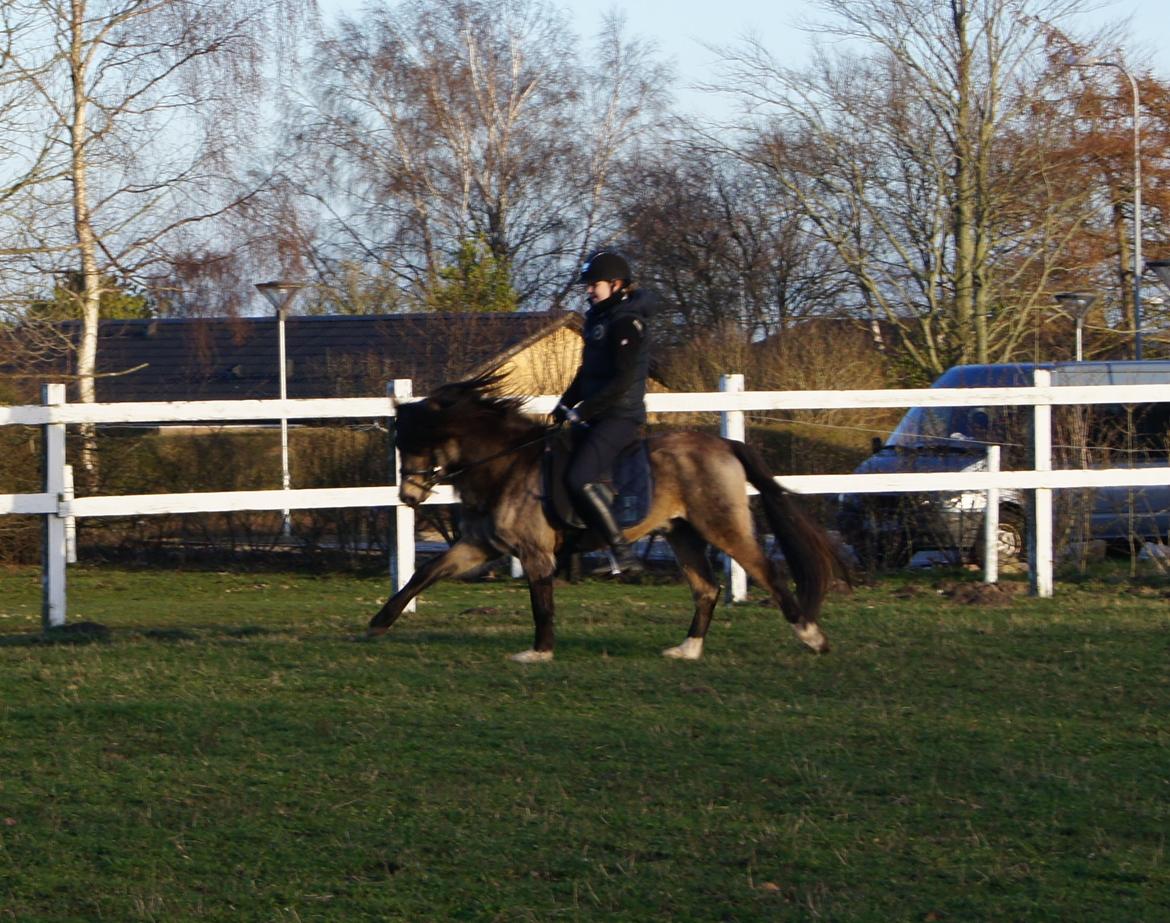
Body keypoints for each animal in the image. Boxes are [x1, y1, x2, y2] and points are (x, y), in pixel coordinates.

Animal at [365, 374, 842, 664]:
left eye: (413, 444)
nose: (407, 497)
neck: (505, 464)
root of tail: (724, 443)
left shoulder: (535, 551)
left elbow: (542, 602)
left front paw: (539, 652)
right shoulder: (480, 545)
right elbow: (425, 573)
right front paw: (378, 623)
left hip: (721, 526)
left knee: (767, 573)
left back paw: (812, 637)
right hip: (682, 534)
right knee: (707, 589)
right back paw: (687, 649)